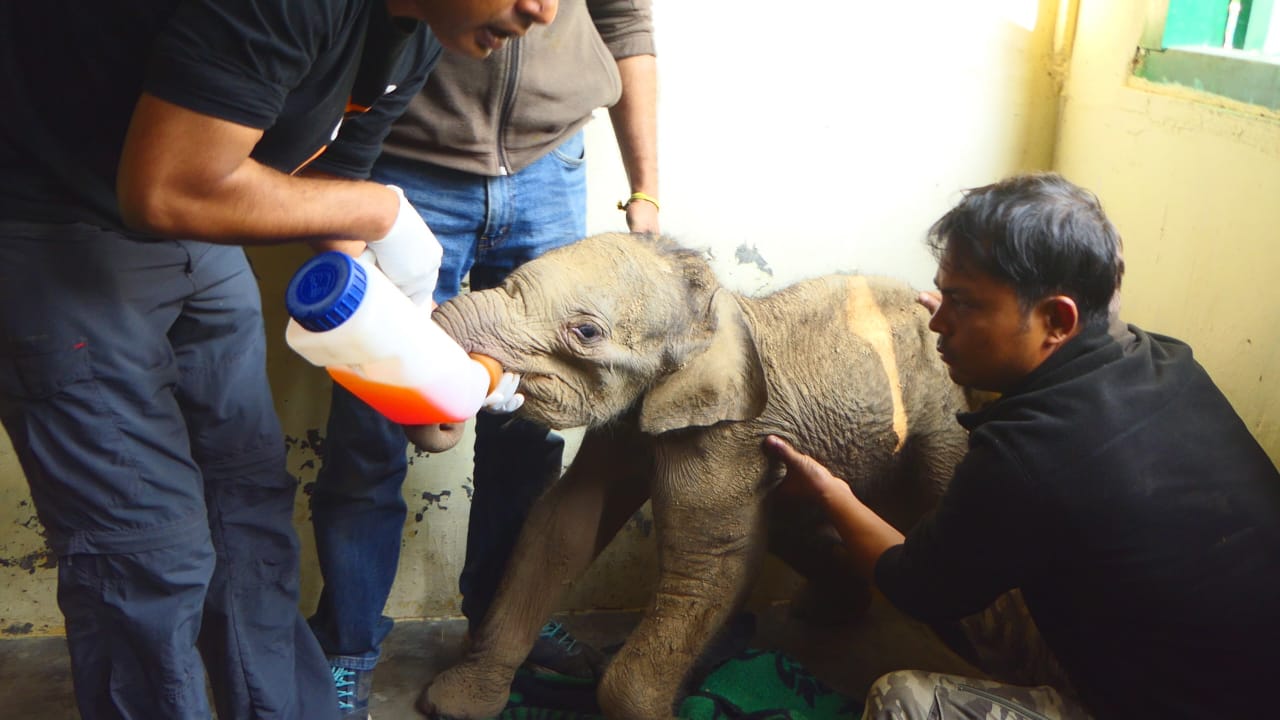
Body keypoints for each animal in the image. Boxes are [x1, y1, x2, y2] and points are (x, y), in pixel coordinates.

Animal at [424, 233, 962, 712]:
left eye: (587, 332)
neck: (713, 318)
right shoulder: (630, 426)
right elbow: (561, 527)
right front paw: (453, 705)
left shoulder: (726, 437)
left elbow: (711, 559)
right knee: (791, 527)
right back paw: (826, 611)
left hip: (943, 414)